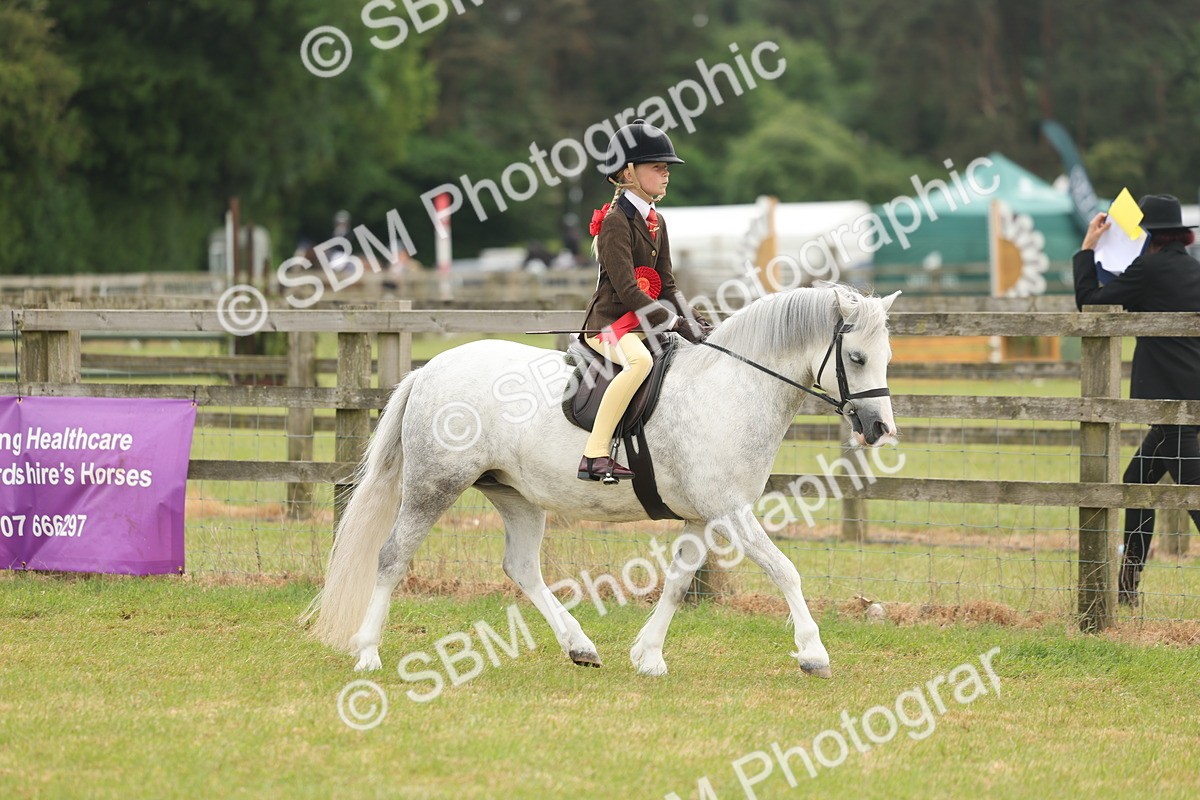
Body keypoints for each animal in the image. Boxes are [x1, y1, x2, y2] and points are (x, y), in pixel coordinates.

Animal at [304, 284, 899, 679]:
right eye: (856, 357)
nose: (879, 428)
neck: (730, 387)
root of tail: (430, 369)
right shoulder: (731, 510)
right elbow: (786, 571)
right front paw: (814, 653)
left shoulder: (703, 516)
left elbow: (678, 582)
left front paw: (649, 656)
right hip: (434, 486)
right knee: (391, 557)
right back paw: (367, 652)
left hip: (515, 494)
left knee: (522, 568)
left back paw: (580, 646)